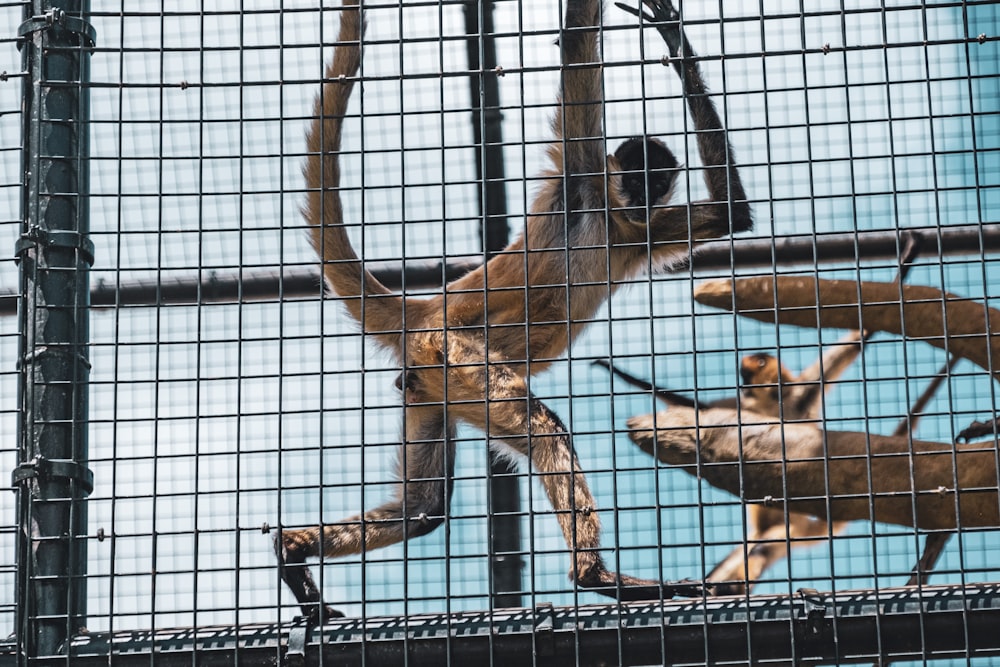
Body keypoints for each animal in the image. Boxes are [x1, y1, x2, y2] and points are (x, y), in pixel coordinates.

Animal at [276, 0, 752, 620]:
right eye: (635, 173)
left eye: (658, 179)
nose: (641, 192)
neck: (609, 219)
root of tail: (424, 310)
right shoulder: (581, 175)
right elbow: (578, 44)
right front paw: (664, 33)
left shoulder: (640, 231)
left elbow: (730, 215)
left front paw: (673, 38)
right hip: (456, 354)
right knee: (544, 428)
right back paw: (597, 577)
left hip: (430, 382)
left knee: (422, 510)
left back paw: (293, 549)